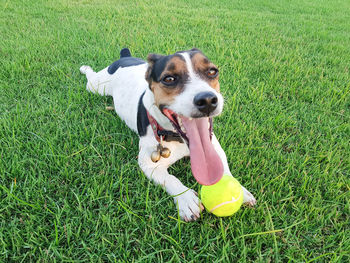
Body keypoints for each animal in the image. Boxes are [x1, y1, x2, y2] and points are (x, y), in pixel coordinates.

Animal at [81, 48, 258, 222]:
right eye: (169, 78)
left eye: (212, 71)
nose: (207, 100)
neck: (177, 139)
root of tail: (124, 57)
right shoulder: (148, 164)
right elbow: (171, 179)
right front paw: (186, 199)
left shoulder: (215, 147)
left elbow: (223, 169)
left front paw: (240, 190)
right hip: (96, 86)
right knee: (90, 77)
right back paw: (85, 68)